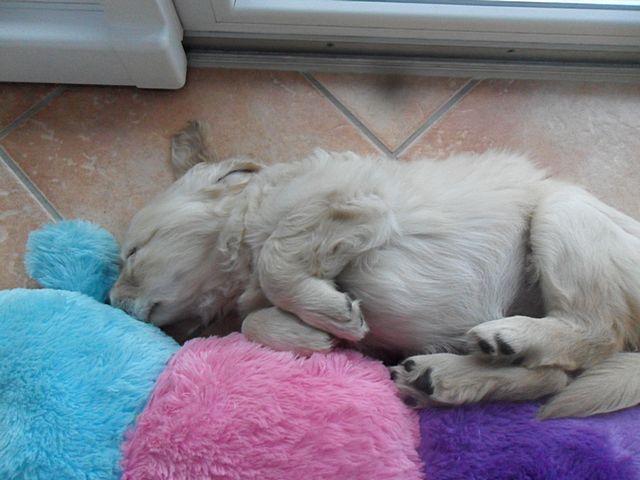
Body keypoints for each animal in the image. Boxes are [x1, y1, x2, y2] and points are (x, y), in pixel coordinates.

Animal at [110, 121, 640, 419]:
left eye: (134, 252)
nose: (112, 302)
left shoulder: (353, 204)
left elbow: (276, 262)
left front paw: (330, 316)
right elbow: (252, 318)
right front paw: (311, 334)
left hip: (562, 213)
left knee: (596, 332)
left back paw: (509, 337)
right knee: (554, 378)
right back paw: (441, 377)